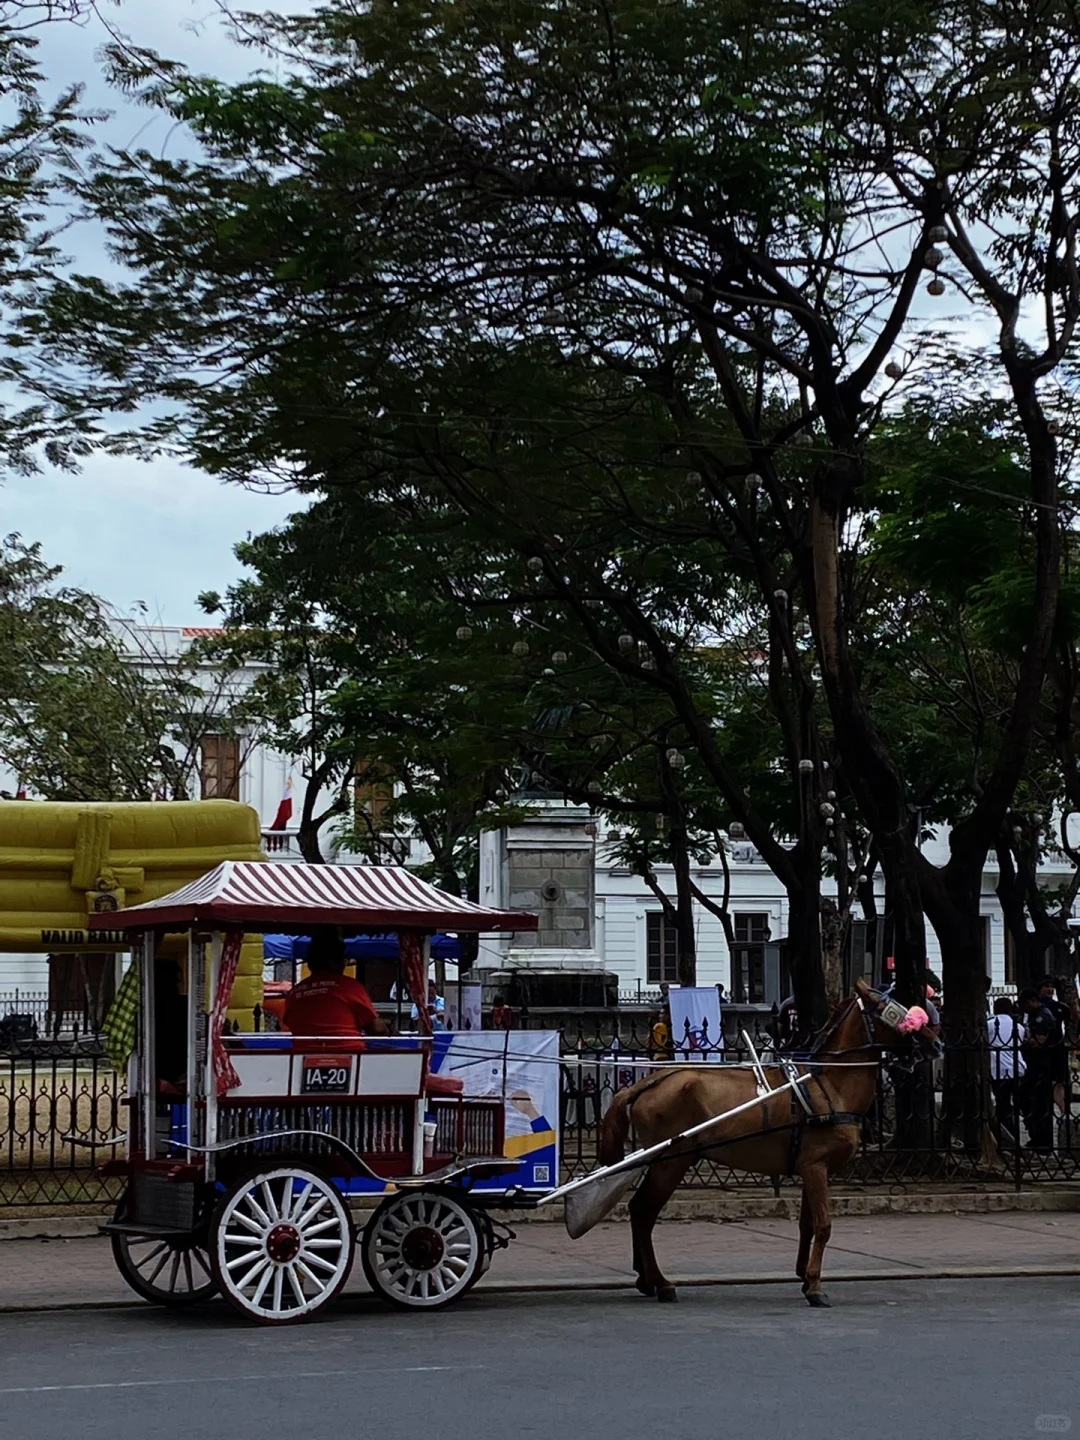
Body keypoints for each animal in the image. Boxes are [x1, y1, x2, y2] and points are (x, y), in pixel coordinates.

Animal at [596, 984, 944, 1313]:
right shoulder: (816, 1167)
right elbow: (823, 1225)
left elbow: (807, 1224)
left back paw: (646, 1278)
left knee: (638, 1210)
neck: (829, 1086)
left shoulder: (810, 1169)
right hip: (670, 1162)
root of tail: (649, 1082)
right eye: (892, 1011)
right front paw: (815, 1286)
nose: (935, 1042)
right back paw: (659, 1281)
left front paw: (804, 1276)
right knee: (643, 1211)